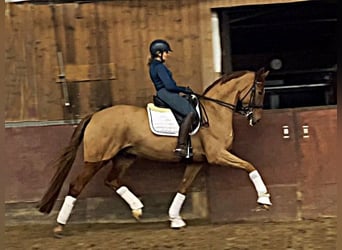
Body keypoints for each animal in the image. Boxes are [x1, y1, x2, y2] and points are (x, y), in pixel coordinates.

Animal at [38, 67, 272, 235]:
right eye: (260, 91)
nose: (257, 119)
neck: (215, 112)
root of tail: (94, 115)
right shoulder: (217, 155)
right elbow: (250, 166)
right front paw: (264, 199)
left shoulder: (197, 161)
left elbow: (183, 186)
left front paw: (175, 219)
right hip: (97, 159)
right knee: (76, 186)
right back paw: (59, 226)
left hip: (125, 157)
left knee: (111, 180)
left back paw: (137, 208)